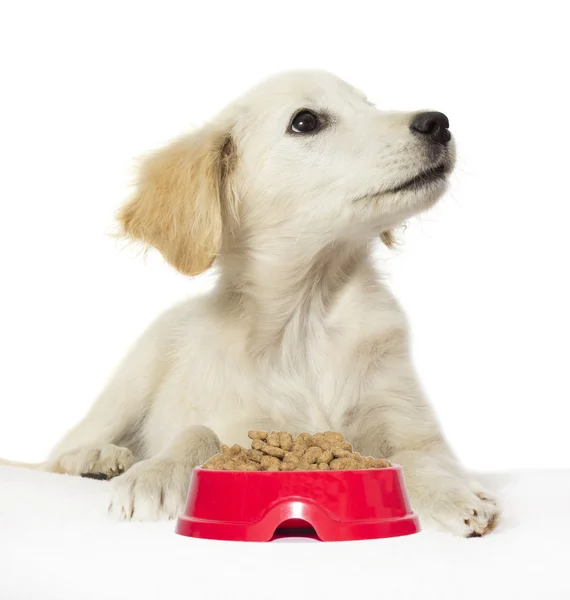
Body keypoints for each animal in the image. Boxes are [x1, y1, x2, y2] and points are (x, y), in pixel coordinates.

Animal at [0, 72, 496, 536]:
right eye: (305, 121)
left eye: (369, 105)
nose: (438, 123)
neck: (308, 319)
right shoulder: (247, 427)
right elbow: (198, 432)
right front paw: (156, 474)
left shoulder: (411, 426)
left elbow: (415, 459)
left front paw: (453, 494)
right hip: (133, 377)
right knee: (59, 454)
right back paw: (100, 460)